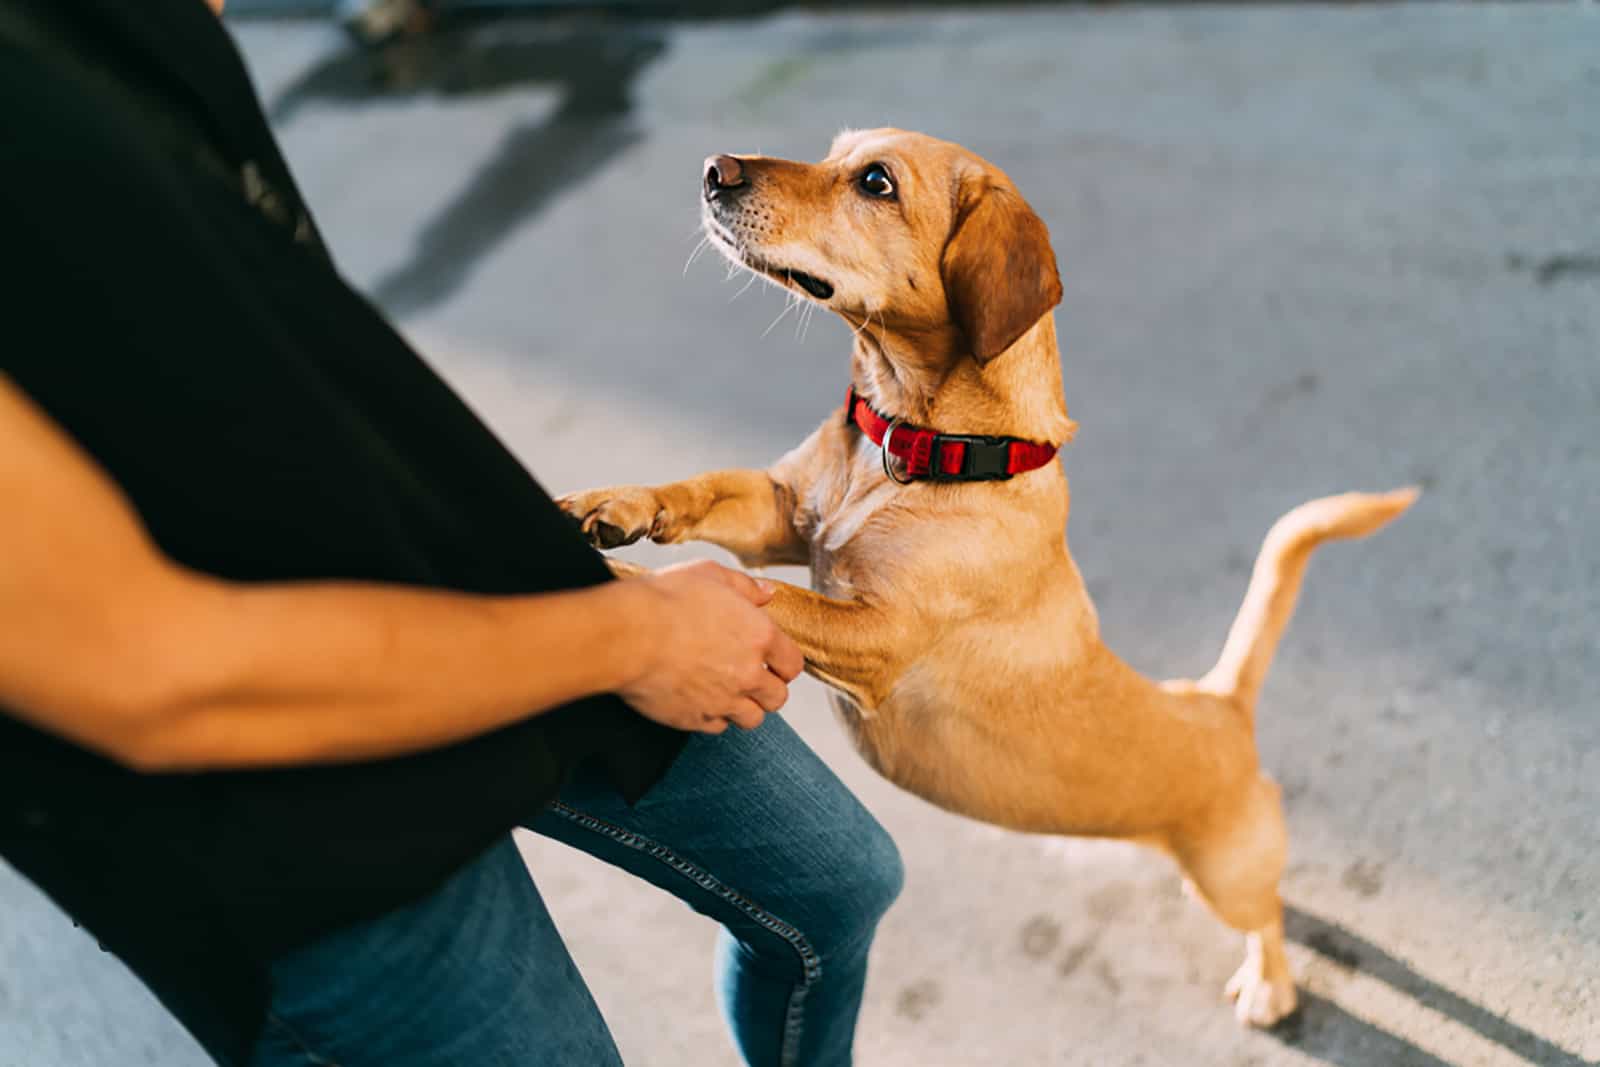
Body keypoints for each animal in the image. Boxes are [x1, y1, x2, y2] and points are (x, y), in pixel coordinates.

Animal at [560, 129, 1414, 1030]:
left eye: (876, 182)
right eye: (834, 150)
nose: (713, 170)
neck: (914, 442)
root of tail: (1217, 701)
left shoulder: (873, 635)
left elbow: (765, 598)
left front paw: (623, 587)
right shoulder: (776, 516)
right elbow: (694, 491)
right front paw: (612, 507)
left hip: (1228, 877)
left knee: (1270, 914)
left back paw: (1268, 981)